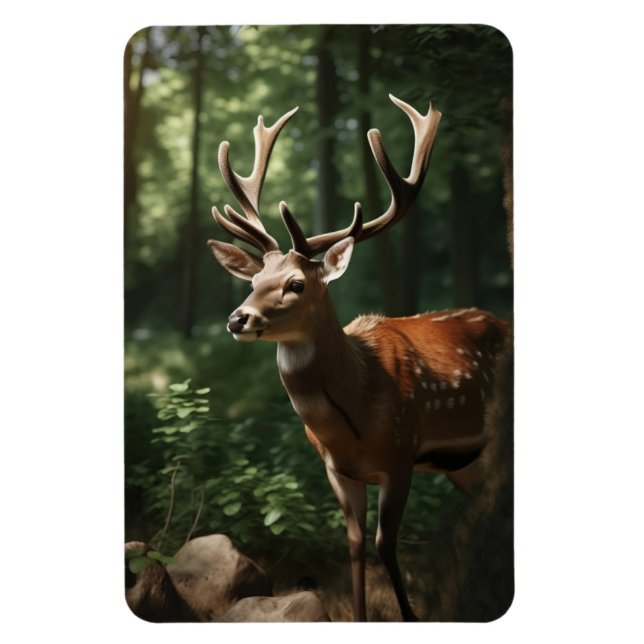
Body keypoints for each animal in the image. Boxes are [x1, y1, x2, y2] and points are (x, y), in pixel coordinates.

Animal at [207, 95, 509, 621]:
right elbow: (353, 546)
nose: (237, 318)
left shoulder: (402, 454)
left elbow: (386, 545)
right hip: (464, 463)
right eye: (254, 280)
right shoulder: (337, 470)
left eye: (296, 283)